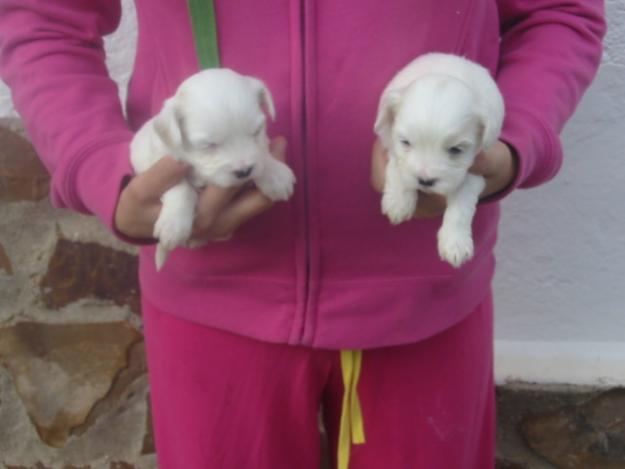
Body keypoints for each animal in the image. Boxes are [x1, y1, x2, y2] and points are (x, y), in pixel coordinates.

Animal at [130, 67, 294, 268]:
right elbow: (180, 187)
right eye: (207, 146)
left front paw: (274, 174)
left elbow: (262, 151)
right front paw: (174, 223)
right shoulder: (158, 160)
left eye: (256, 132)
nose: (244, 171)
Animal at [372, 53, 504, 266]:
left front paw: (455, 242)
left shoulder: (474, 170)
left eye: (456, 150)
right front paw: (398, 201)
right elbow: (398, 168)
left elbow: (461, 205)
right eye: (405, 142)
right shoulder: (391, 143)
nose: (425, 181)